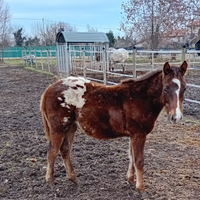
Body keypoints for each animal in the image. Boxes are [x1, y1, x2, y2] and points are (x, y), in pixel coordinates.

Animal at [39, 61, 187, 199]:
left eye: (184, 89)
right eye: (166, 89)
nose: (176, 117)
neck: (141, 97)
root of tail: (49, 88)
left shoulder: (133, 135)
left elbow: (131, 156)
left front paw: (130, 179)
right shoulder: (139, 134)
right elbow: (139, 160)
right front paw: (141, 189)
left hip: (70, 127)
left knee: (65, 150)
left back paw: (74, 179)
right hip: (58, 128)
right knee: (52, 151)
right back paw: (51, 183)